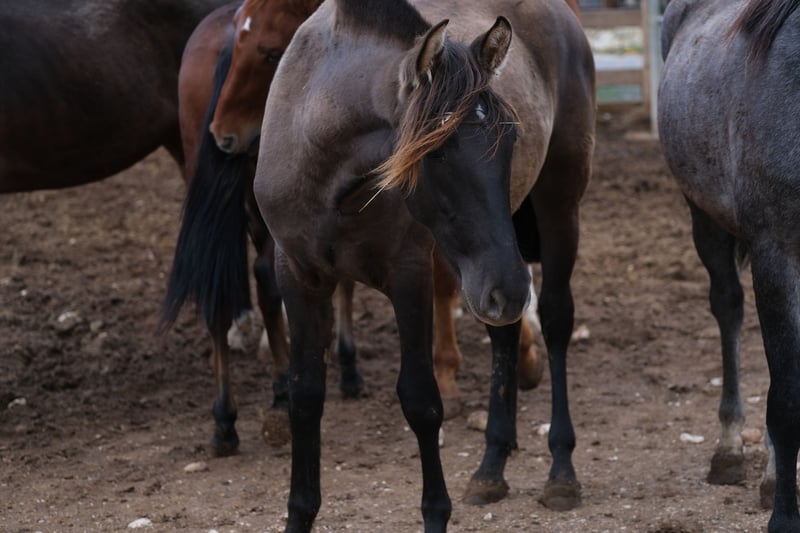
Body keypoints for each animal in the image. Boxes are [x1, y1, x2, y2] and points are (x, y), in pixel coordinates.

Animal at [254, 0, 594, 529]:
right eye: (435, 149)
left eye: (511, 138)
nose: (512, 287)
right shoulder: (299, 275)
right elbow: (305, 398)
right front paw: (299, 514)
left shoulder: (408, 275)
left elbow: (421, 399)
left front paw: (436, 513)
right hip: (489, 266)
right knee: (504, 334)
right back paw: (491, 466)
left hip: (552, 214)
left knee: (556, 320)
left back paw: (561, 471)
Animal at [659, 0, 800, 530]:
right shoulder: (775, 252)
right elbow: (786, 396)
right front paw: (784, 516)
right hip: (705, 219)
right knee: (729, 310)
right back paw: (731, 451)